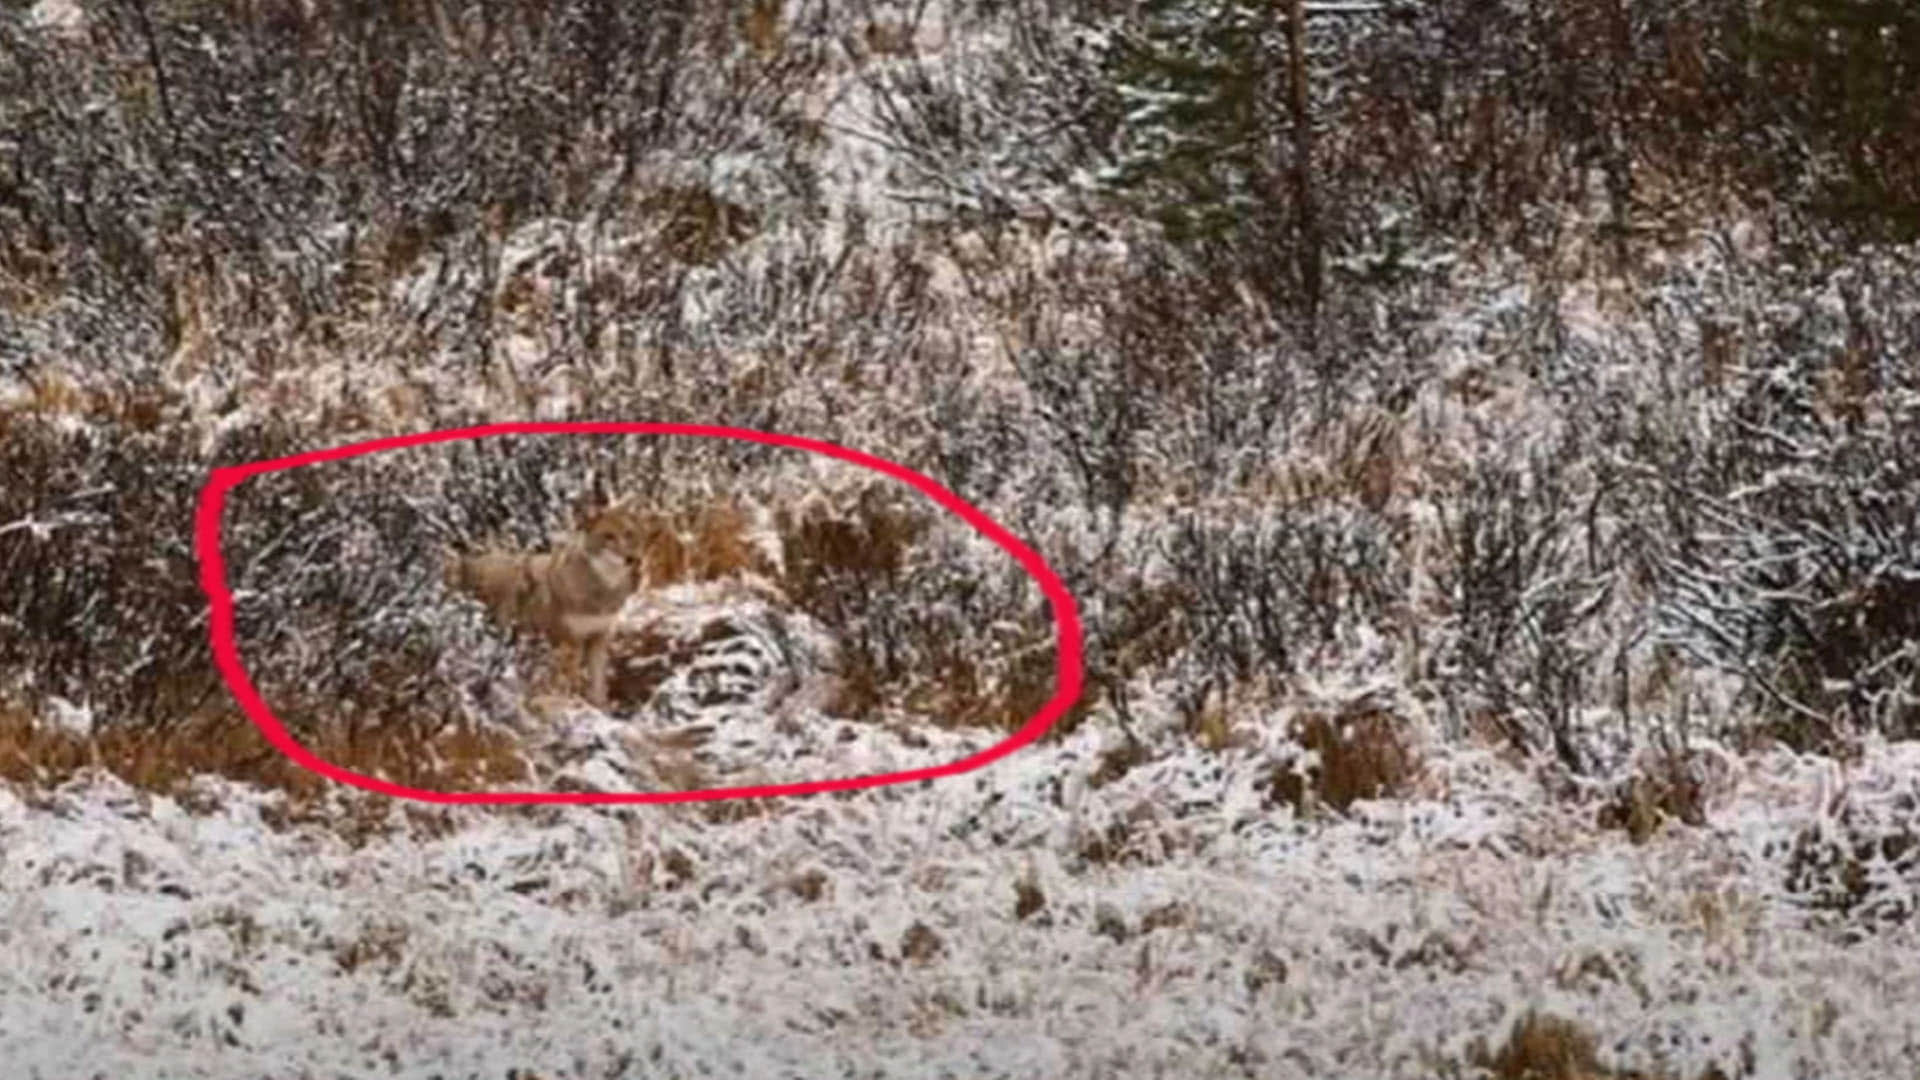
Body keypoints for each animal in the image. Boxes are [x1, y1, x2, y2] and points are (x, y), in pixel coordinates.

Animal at [445, 497, 645, 709]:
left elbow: (598, 687)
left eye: (628, 534)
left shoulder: (599, 637)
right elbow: (569, 682)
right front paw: (571, 705)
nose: (632, 559)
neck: (601, 593)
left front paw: (599, 708)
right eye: (609, 537)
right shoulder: (569, 641)